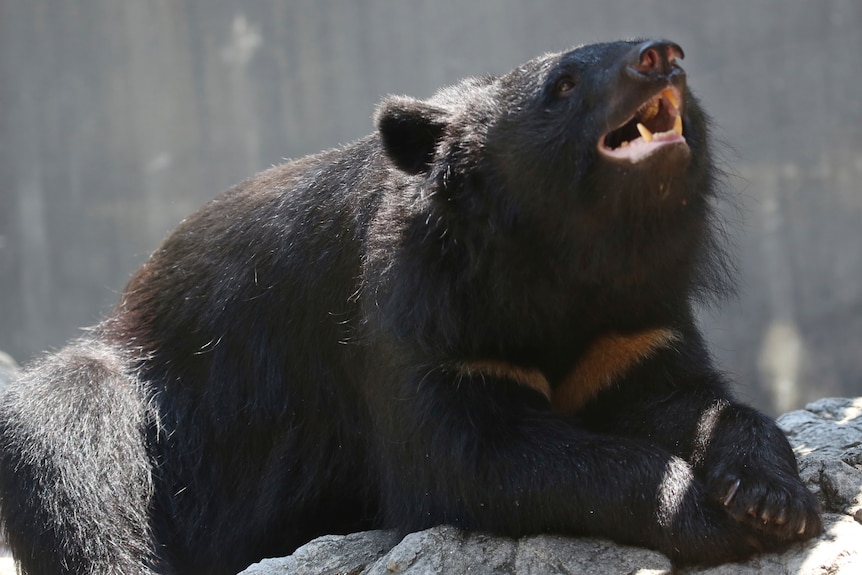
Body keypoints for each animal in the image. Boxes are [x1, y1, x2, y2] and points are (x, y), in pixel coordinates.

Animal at [0, 39, 821, 575]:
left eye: (657, 56)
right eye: (562, 84)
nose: (661, 54)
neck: (564, 263)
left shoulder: (633, 321)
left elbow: (685, 398)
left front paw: (770, 497)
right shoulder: (421, 324)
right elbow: (471, 459)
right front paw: (705, 516)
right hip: (129, 396)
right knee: (69, 459)